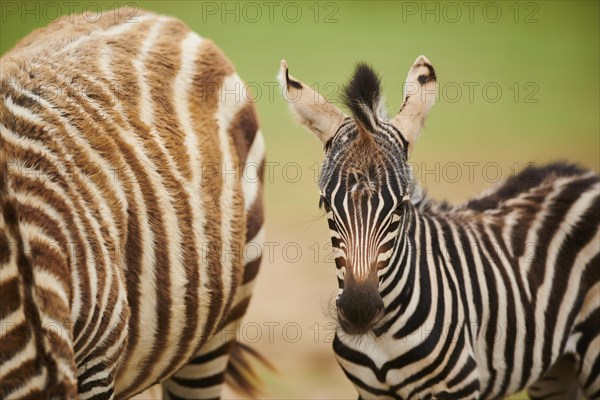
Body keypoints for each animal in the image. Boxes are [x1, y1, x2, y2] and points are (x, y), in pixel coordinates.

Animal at [278, 57, 596, 400]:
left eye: (400, 207)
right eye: (326, 204)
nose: (358, 311)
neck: (380, 335)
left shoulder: (457, 387)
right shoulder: (370, 392)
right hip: (556, 370)